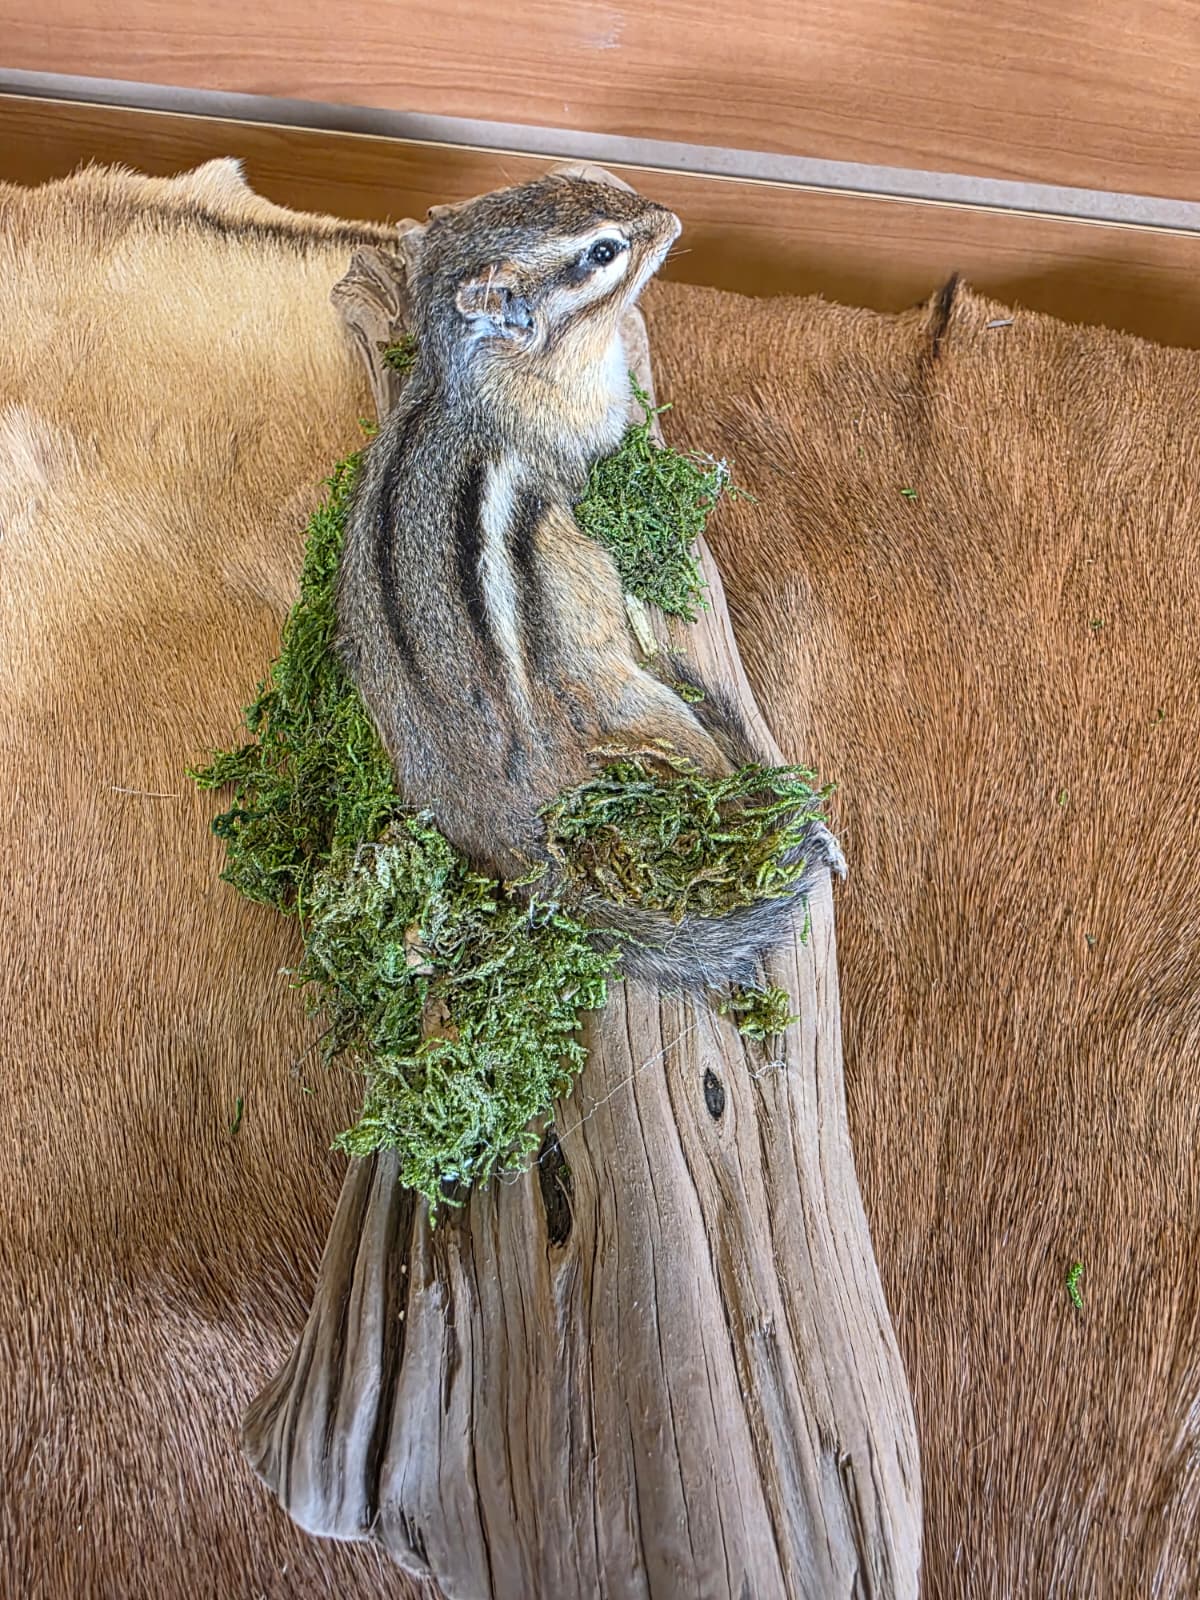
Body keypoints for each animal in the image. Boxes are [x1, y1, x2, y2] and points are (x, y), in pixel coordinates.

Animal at [337, 173, 843, 988]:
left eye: (579, 180)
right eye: (602, 253)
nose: (671, 219)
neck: (476, 381)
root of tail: (497, 812)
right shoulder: (588, 440)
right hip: (644, 708)